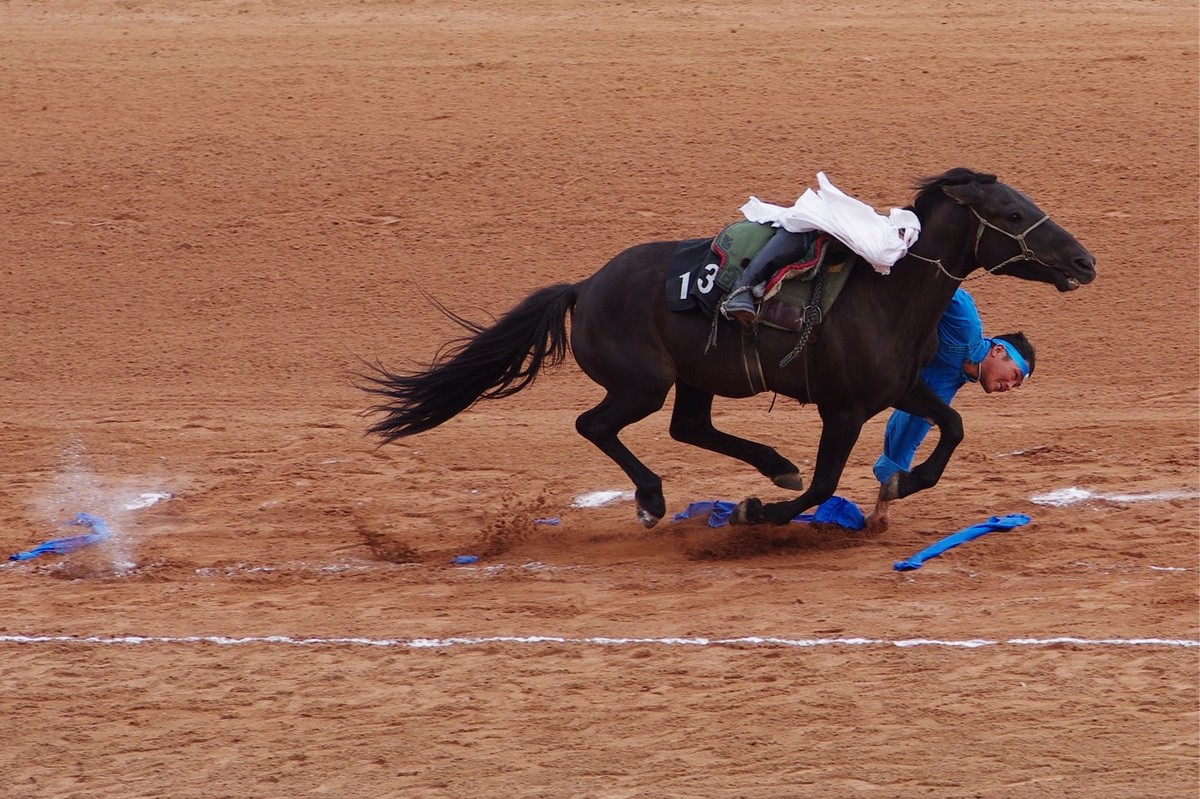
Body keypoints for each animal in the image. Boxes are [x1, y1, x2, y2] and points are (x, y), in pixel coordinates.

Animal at [357, 166, 1099, 525]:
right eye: (1012, 213)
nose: (1084, 260)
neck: (888, 292)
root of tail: (584, 286)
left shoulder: (898, 388)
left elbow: (951, 425)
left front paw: (904, 480)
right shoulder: (842, 408)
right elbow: (827, 479)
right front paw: (758, 512)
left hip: (695, 377)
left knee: (688, 427)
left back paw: (771, 464)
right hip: (642, 381)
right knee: (596, 424)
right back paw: (656, 499)